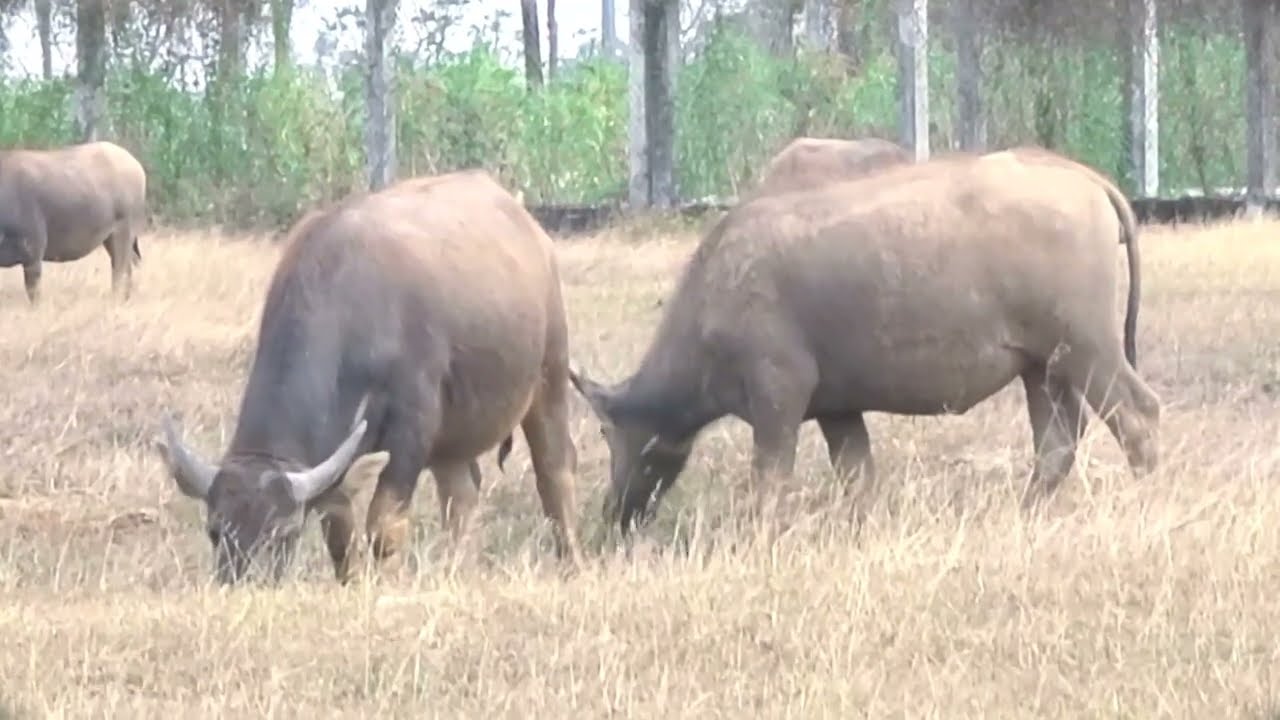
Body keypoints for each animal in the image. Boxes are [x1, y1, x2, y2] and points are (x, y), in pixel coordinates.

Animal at [0, 141, 147, 302]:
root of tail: (135, 164)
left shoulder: (33, 257)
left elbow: (34, 295)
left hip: (123, 233)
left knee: (120, 271)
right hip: (111, 239)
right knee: (129, 265)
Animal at [156, 170, 584, 584]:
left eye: (285, 532)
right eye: (215, 531)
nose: (242, 582)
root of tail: (528, 225)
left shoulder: (412, 428)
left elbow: (384, 526)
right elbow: (338, 531)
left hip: (550, 376)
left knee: (554, 471)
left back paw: (570, 561)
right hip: (455, 438)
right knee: (461, 492)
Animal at [570, 151, 1161, 534]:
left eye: (606, 431)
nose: (614, 514)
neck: (716, 289)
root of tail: (1086, 180)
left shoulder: (778, 399)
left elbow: (770, 481)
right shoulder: (838, 412)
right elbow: (858, 479)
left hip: (1088, 349)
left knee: (1138, 415)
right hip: (1043, 367)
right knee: (1057, 443)